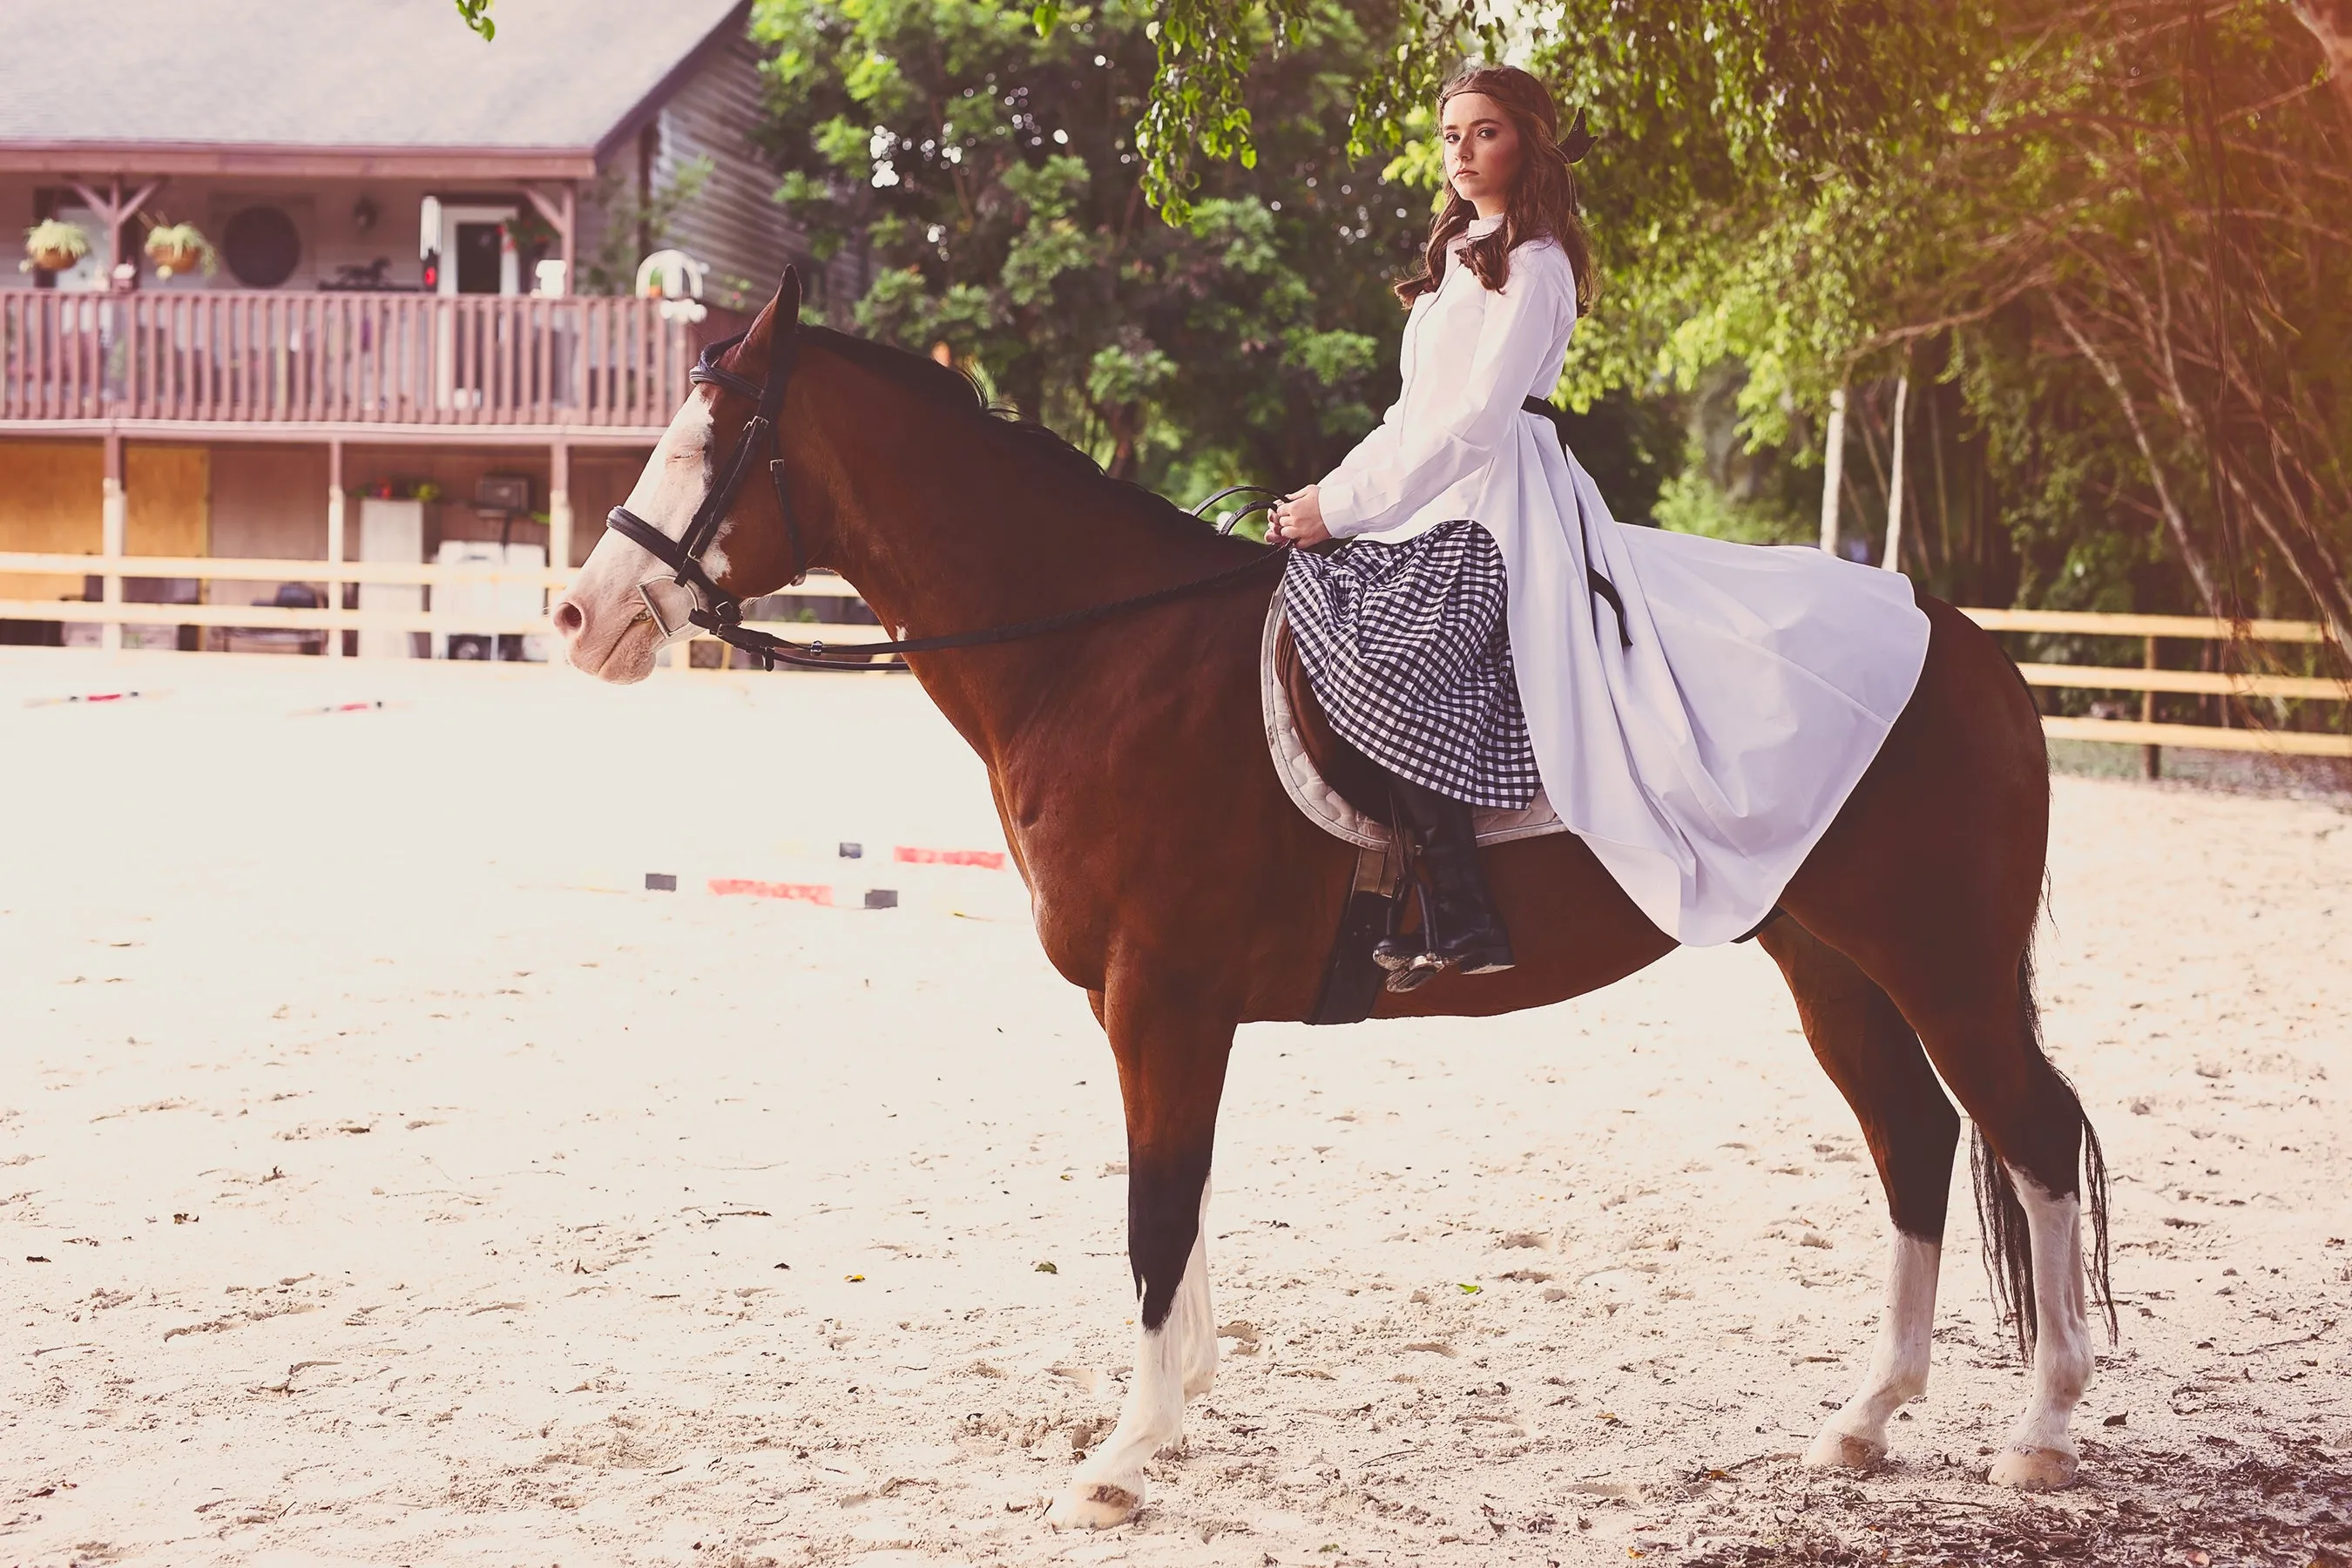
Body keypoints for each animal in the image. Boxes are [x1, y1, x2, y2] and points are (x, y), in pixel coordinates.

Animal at [550, 273, 2117, 1532]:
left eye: (707, 441)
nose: (576, 613)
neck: (1098, 658)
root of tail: (1970, 649)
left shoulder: (1163, 999)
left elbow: (1156, 1214)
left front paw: (1122, 1459)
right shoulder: (1158, 1013)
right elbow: (1179, 1205)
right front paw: (1179, 1411)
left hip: (1941, 966)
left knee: (2032, 1140)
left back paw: (2040, 1432)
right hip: (1833, 964)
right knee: (1917, 1145)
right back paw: (1864, 1422)